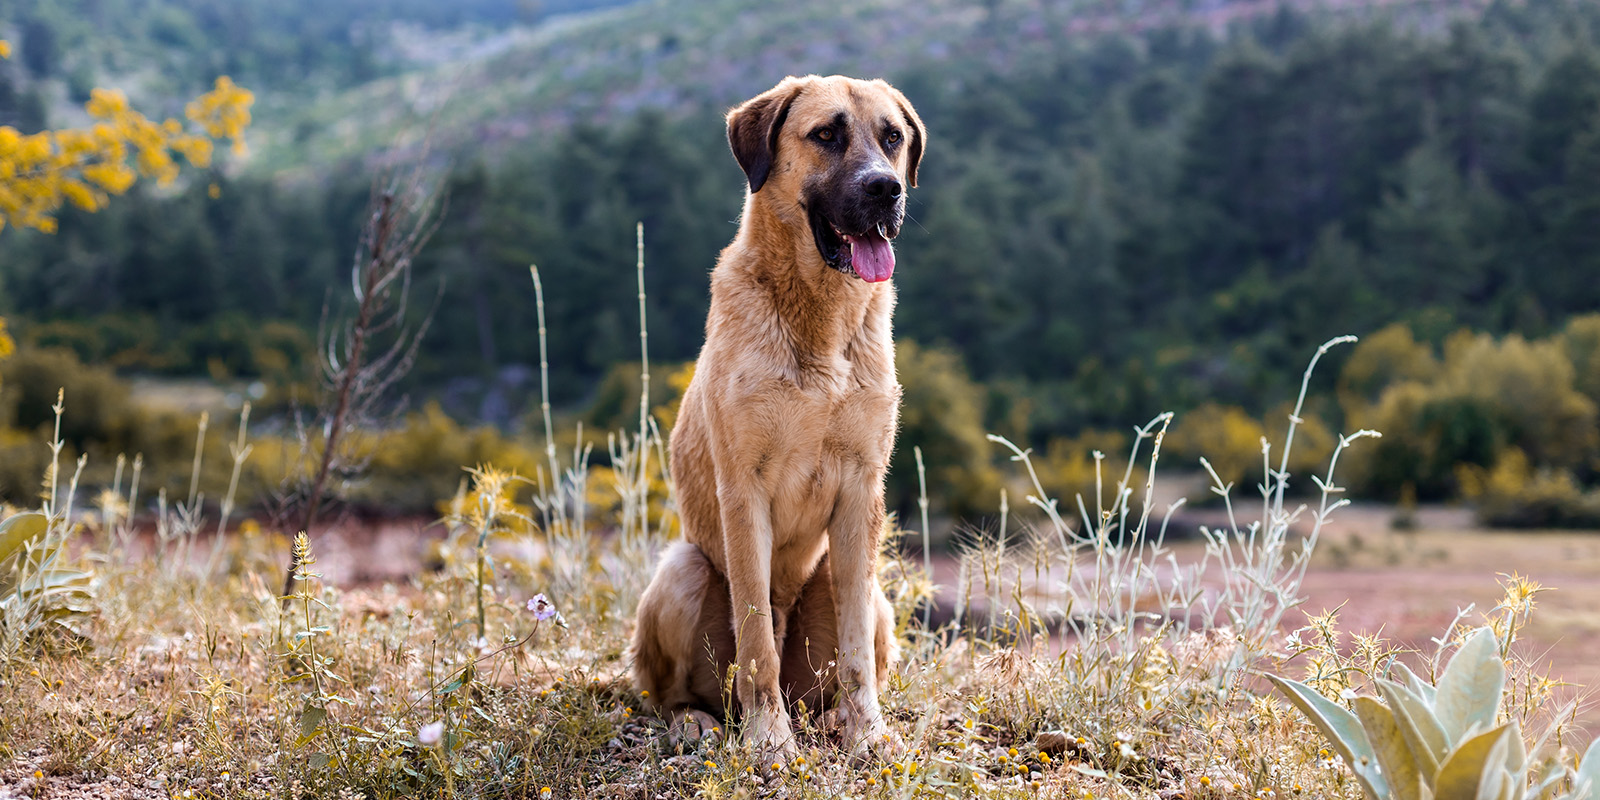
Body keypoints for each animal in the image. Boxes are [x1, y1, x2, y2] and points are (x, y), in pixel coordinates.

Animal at [627, 75, 928, 755]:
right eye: (826, 135)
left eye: (892, 137)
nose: (886, 189)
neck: (821, 314)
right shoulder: (744, 491)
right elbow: (757, 638)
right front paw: (768, 742)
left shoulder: (861, 490)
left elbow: (854, 653)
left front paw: (867, 732)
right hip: (684, 570)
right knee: (676, 691)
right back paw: (698, 721)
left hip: (867, 591)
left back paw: (832, 720)